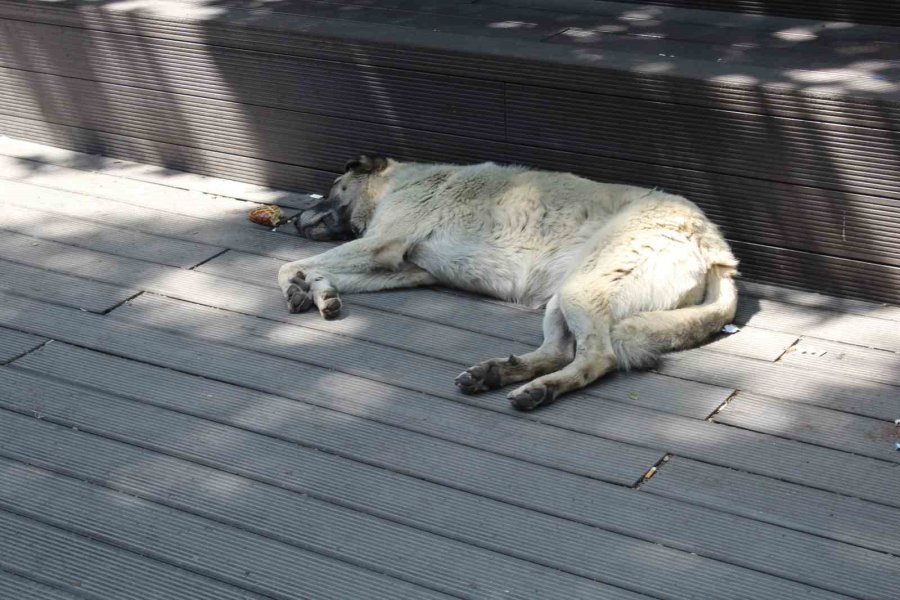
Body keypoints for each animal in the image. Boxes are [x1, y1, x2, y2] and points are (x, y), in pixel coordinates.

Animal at [278, 155, 736, 410]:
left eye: (331, 188)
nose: (291, 220)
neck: (401, 181)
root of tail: (715, 246)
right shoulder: (406, 269)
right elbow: (317, 271)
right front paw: (319, 293)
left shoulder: (381, 245)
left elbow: (288, 267)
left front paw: (299, 286)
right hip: (563, 295)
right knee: (557, 351)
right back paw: (496, 374)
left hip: (581, 288)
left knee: (596, 356)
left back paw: (540, 391)